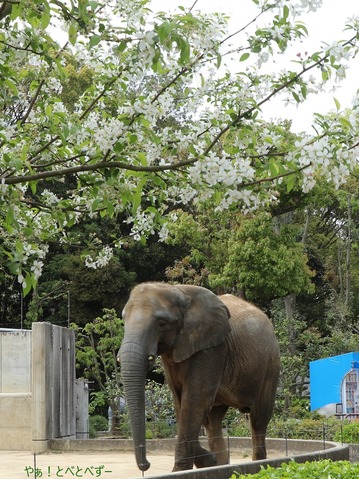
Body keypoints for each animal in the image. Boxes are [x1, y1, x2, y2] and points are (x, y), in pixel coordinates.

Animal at [118, 282, 282, 472]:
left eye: (161, 323)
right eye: (124, 321)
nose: (146, 465)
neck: (177, 290)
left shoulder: (212, 348)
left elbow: (194, 400)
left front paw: (183, 470)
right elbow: (180, 403)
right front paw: (211, 462)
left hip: (271, 364)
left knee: (258, 420)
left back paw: (260, 466)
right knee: (213, 421)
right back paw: (221, 465)